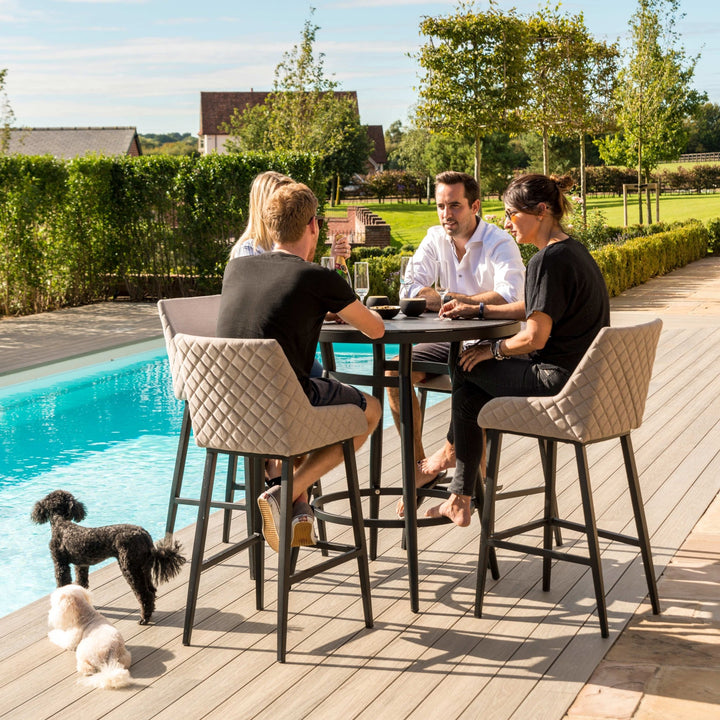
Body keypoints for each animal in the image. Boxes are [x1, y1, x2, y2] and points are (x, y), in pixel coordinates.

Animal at [32, 489, 186, 624]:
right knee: (151, 591)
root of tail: (144, 534)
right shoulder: (81, 565)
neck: (62, 525)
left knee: (144, 595)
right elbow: (82, 584)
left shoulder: (60, 564)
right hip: (143, 567)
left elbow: (62, 584)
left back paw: (144, 619)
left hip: (129, 568)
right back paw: (149, 614)